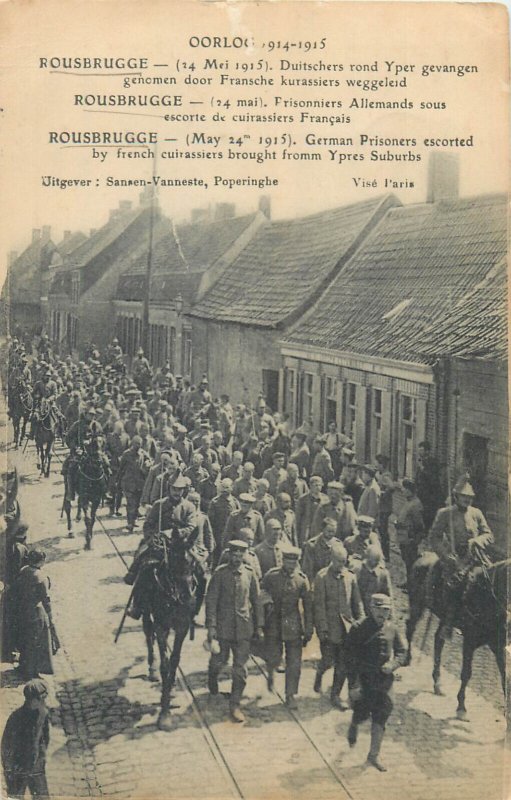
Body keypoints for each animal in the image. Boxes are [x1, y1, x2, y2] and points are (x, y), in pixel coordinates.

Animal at [141, 532, 205, 732]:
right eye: (173, 561)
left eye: (192, 563)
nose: (187, 597)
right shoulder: (162, 625)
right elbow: (165, 663)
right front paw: (164, 712)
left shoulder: (182, 626)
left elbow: (175, 660)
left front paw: (170, 691)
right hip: (146, 611)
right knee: (148, 631)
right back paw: (152, 668)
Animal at [404, 548, 508, 720]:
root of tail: (423, 555)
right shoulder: (469, 641)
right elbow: (466, 673)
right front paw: (461, 707)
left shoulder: (497, 646)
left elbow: (505, 677)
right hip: (417, 605)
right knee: (410, 628)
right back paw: (407, 659)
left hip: (444, 618)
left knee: (438, 639)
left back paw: (437, 683)